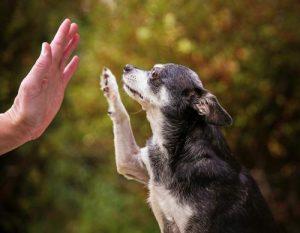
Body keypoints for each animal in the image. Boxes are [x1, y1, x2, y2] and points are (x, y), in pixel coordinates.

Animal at [100, 63, 276, 233]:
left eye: (155, 74)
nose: (127, 67)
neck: (178, 149)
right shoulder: (129, 162)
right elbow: (122, 116)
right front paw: (109, 84)